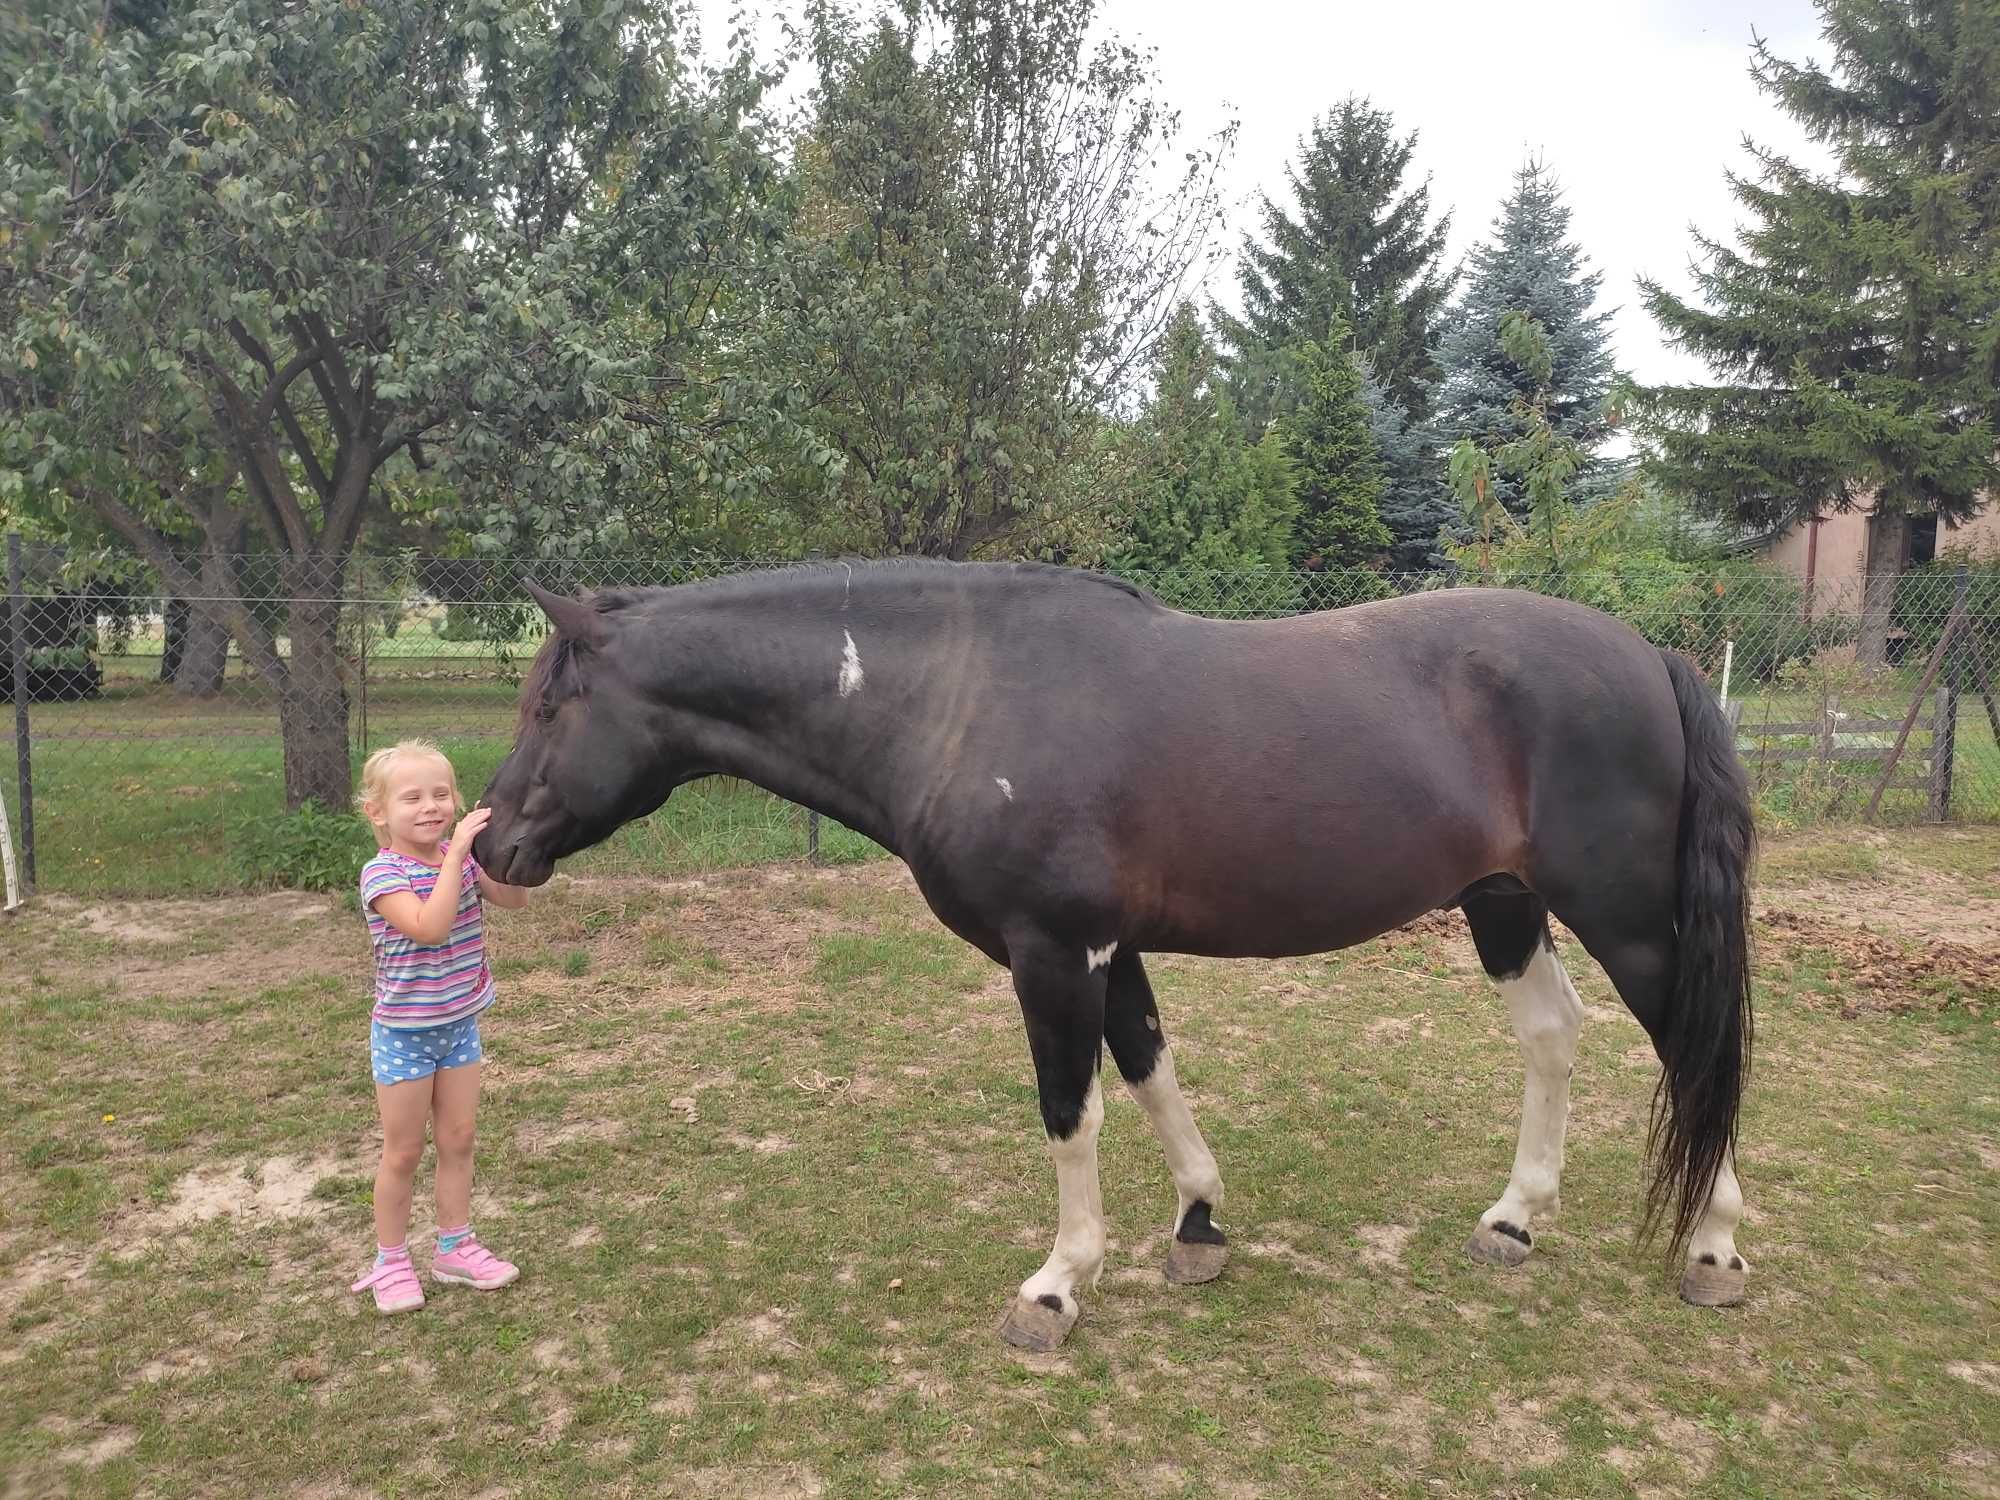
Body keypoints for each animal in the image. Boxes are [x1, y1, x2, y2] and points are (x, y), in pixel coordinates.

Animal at [472, 560, 1752, 1352]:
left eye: (548, 708)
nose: (490, 843)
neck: (960, 697)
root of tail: (1649, 656)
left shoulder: (1054, 949)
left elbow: (1068, 1106)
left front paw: (1056, 1286)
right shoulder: (1111, 948)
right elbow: (1146, 1066)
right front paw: (1197, 1224)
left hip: (1623, 918)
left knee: (1692, 1055)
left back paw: (1712, 1247)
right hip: (1503, 907)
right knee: (1552, 1036)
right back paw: (1514, 1218)